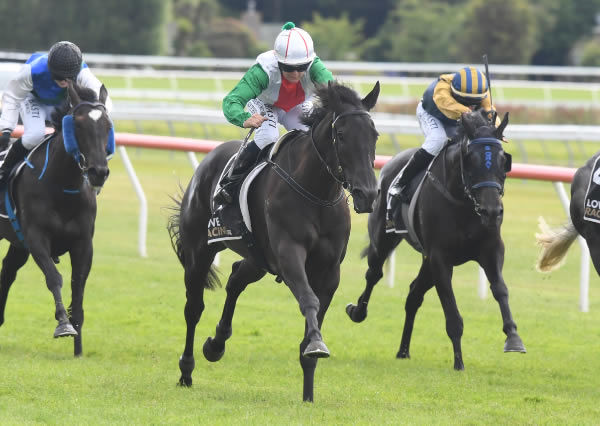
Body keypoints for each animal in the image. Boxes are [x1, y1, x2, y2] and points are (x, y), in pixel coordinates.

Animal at [0, 82, 112, 356]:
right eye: (79, 125)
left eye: (107, 126)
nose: (98, 172)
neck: (63, 186)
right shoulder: (37, 238)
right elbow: (54, 278)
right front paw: (63, 324)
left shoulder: (83, 244)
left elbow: (77, 286)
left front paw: (78, 346)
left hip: (17, 243)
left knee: (8, 271)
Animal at [166, 80, 378, 402]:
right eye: (341, 135)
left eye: (374, 135)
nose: (368, 194)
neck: (316, 193)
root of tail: (209, 159)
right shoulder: (289, 255)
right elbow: (308, 299)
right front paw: (316, 345)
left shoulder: (329, 271)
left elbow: (315, 315)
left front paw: (308, 391)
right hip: (200, 250)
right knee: (194, 308)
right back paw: (186, 370)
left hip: (259, 258)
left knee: (236, 279)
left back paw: (216, 344)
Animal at [346, 109, 524, 370]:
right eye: (471, 160)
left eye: (504, 161)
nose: (492, 211)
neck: (463, 202)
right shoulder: (440, 259)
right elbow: (451, 310)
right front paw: (459, 362)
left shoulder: (490, 250)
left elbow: (500, 289)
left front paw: (513, 337)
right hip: (384, 240)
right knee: (374, 274)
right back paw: (358, 311)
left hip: (426, 261)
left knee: (413, 295)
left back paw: (403, 350)